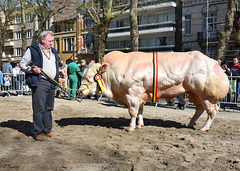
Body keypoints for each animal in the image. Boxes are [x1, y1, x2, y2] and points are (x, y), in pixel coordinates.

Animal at [80, 50, 229, 131]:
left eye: (89, 77)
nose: (80, 91)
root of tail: (213, 61)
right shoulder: (141, 94)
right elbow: (140, 111)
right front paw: (140, 125)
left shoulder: (133, 93)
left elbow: (133, 112)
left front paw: (131, 127)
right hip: (194, 94)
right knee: (199, 109)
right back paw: (191, 124)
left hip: (207, 95)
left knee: (212, 111)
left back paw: (204, 128)